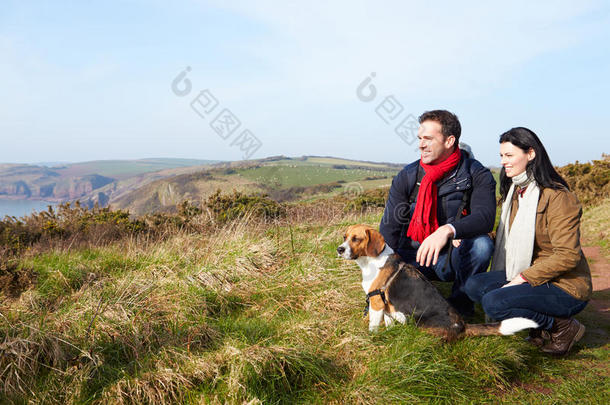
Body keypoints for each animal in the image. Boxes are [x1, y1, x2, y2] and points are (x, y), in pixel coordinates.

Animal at [338, 223, 536, 340]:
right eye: (344, 237)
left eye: (356, 239)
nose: (339, 249)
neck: (370, 261)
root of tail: (462, 326)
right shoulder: (385, 306)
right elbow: (388, 322)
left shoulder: (376, 302)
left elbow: (373, 325)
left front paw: (371, 337)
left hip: (422, 326)